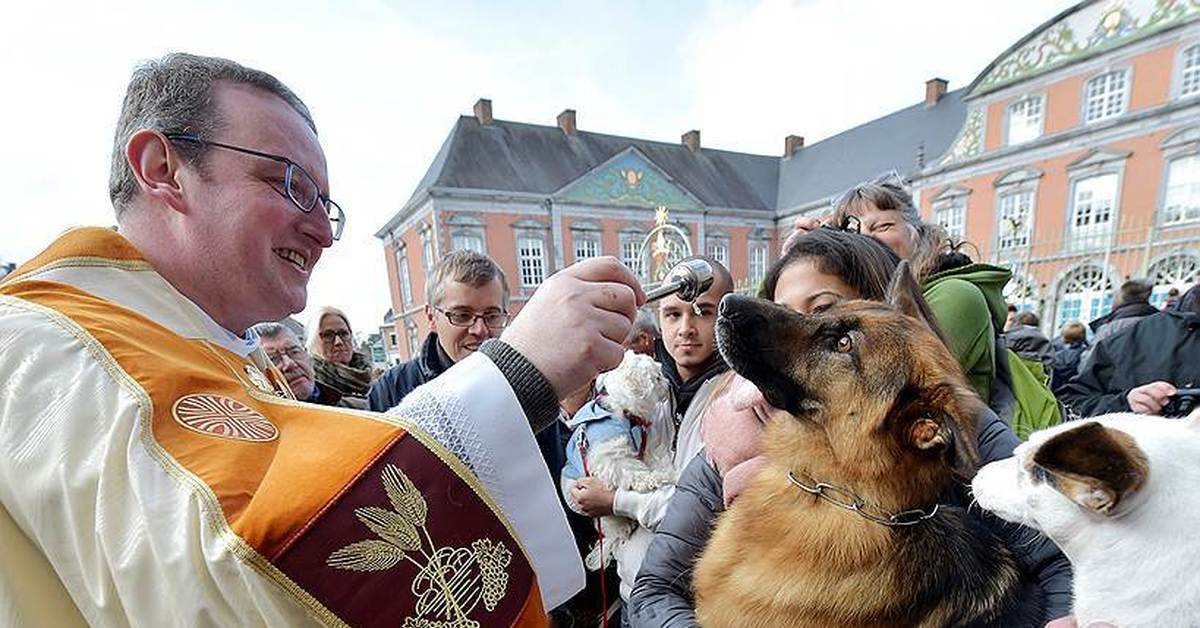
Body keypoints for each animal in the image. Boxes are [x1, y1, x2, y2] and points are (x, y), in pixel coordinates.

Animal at [571, 350, 676, 571]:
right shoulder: (610, 456)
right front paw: (654, 479)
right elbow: (633, 471)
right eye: (657, 378)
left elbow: (651, 459)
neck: (625, 413)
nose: (669, 383)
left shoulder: (642, 445)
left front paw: (665, 471)